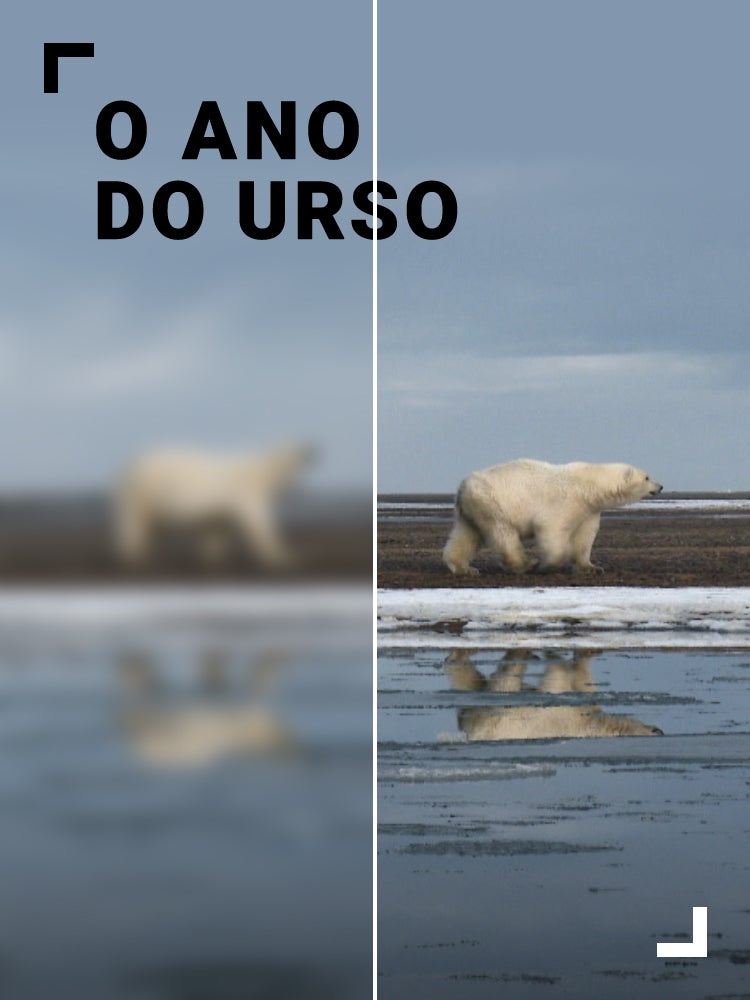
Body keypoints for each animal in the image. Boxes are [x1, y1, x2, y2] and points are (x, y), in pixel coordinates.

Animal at [114, 443, 313, 569]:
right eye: (302, 448)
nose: (316, 449)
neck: (261, 472)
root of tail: (128, 466)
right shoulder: (245, 492)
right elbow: (257, 522)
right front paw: (282, 557)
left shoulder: (219, 510)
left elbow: (216, 530)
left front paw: (212, 558)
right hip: (144, 489)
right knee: (133, 521)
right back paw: (135, 556)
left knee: (150, 523)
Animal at [442, 458, 662, 575]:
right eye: (647, 477)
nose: (660, 486)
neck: (588, 485)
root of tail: (462, 487)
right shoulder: (565, 501)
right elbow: (551, 528)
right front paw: (547, 564)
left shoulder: (588, 510)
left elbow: (584, 538)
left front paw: (591, 567)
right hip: (493, 503)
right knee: (503, 533)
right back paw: (526, 564)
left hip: (473, 509)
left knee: (467, 535)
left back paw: (462, 567)